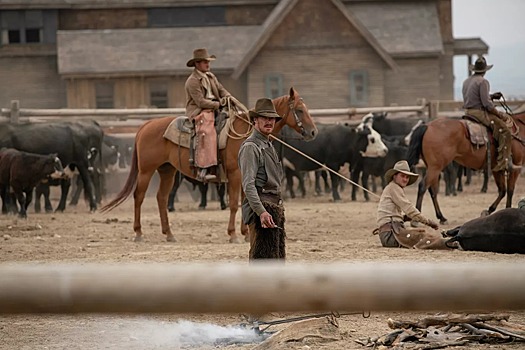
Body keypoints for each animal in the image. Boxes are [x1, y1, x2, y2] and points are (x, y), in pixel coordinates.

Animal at [100, 87, 318, 242]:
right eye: (300, 110)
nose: (313, 132)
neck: (245, 131)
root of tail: (146, 125)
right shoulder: (236, 174)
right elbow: (234, 203)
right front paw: (233, 234)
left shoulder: (245, 175)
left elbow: (245, 201)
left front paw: (245, 233)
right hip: (146, 170)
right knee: (139, 196)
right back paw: (138, 233)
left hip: (167, 170)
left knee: (161, 198)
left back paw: (169, 234)